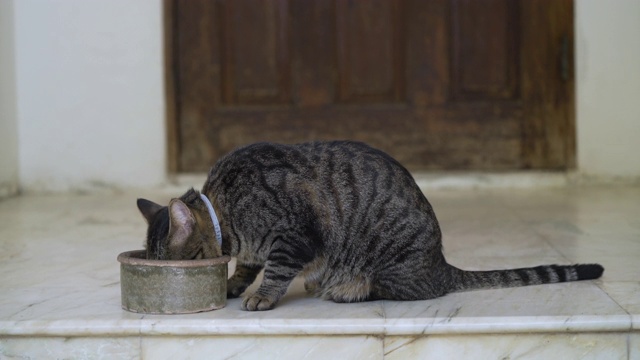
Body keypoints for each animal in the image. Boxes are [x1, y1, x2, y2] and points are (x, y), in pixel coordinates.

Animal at [138, 142, 604, 310]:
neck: (226, 212)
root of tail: (441, 265)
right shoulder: (256, 247)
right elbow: (249, 266)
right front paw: (235, 284)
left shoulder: (294, 236)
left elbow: (274, 270)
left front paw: (261, 296)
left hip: (387, 264)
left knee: (399, 290)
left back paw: (346, 289)